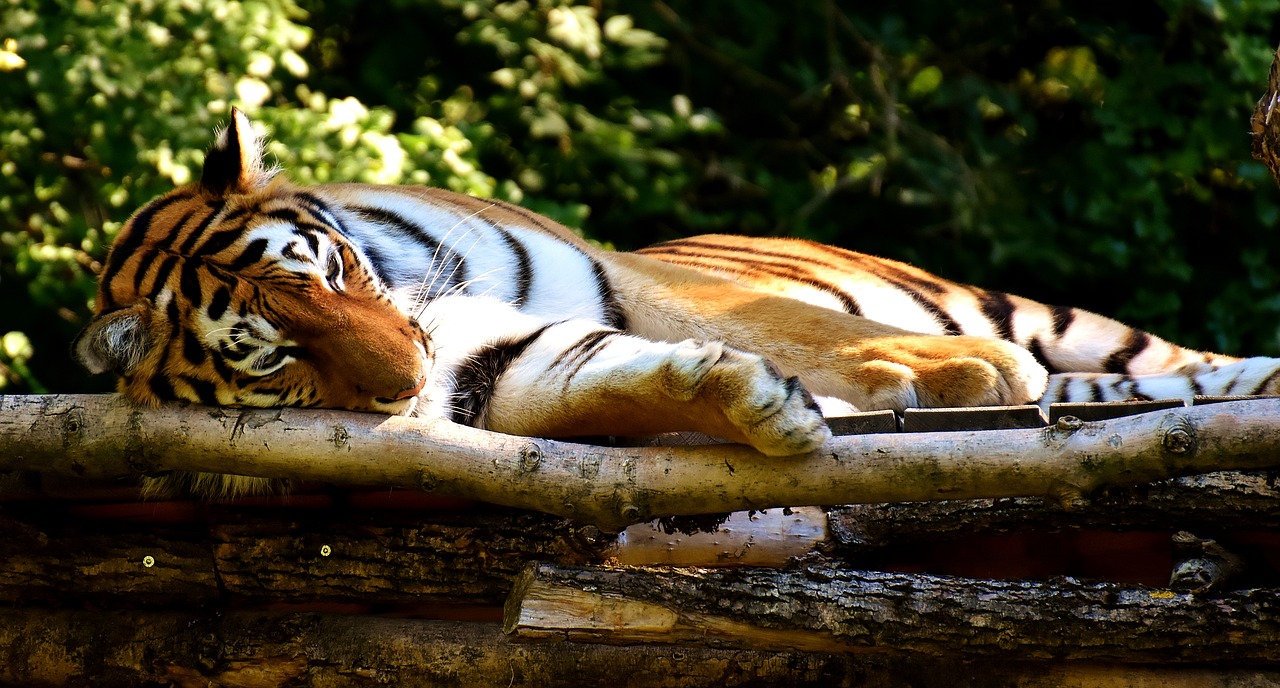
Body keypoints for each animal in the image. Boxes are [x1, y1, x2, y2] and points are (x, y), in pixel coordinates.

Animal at [74, 108, 1274, 493]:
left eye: (328, 275)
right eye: (276, 356)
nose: (404, 373)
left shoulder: (640, 279)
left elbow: (785, 325)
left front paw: (950, 373)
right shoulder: (490, 376)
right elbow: (603, 384)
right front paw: (747, 405)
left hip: (1048, 314)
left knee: (1156, 360)